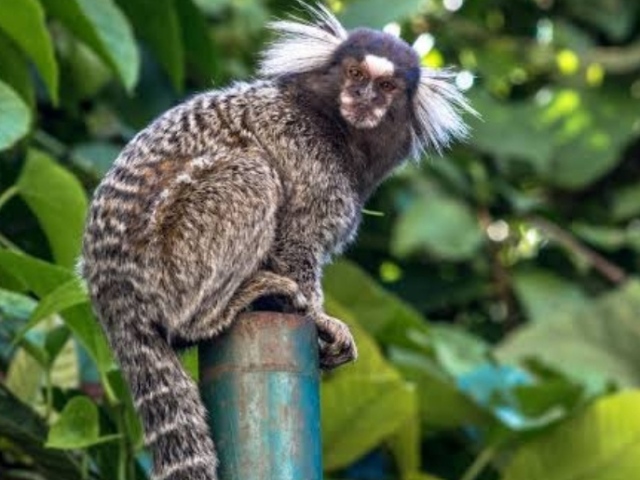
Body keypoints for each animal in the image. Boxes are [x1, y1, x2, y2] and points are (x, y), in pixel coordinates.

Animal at [81, 1, 476, 478]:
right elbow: (295, 245)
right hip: (169, 258)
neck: (335, 128)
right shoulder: (306, 160)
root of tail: (109, 289)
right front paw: (320, 320)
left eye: (386, 86)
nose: (364, 97)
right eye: (354, 74)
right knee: (250, 174)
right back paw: (213, 312)